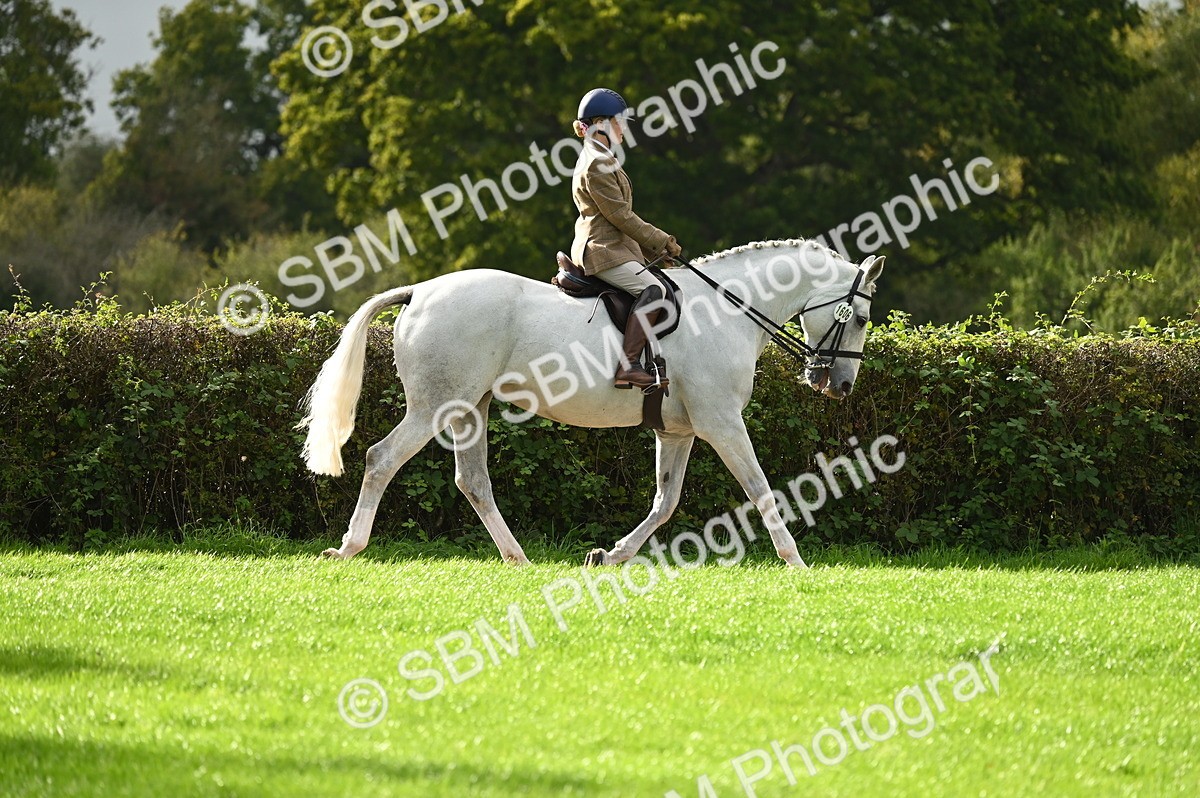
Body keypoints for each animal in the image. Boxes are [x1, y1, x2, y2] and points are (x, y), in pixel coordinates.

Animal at [298, 239, 886, 568]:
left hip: (471, 408)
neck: (727, 311)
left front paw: (610, 555)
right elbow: (761, 488)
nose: (839, 385)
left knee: (473, 480)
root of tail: (419, 291)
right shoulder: (722, 423)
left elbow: (665, 501)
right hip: (435, 407)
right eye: (859, 317)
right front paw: (796, 561)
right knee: (381, 459)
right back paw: (349, 548)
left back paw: (517, 558)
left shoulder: (677, 431)